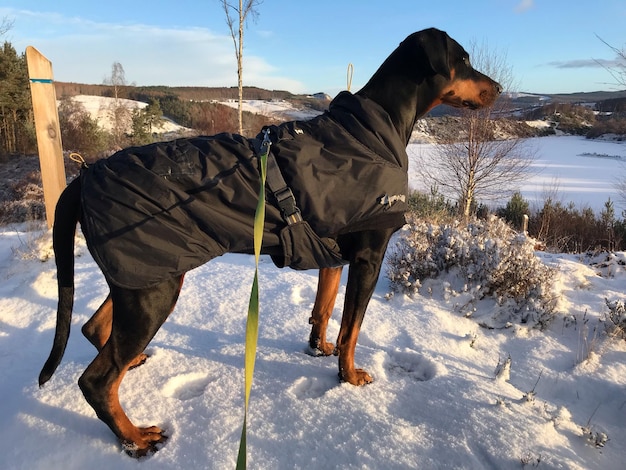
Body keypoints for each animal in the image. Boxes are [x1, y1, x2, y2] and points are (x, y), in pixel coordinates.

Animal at [39, 26, 498, 456]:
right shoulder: (370, 254)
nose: (498, 88)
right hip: (153, 287)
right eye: (464, 59)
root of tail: (84, 179)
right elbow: (352, 328)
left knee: (95, 328)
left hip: (142, 274)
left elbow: (325, 310)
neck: (374, 129)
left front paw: (318, 347)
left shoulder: (335, 254)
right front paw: (348, 377)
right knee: (96, 379)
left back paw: (131, 366)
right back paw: (134, 438)